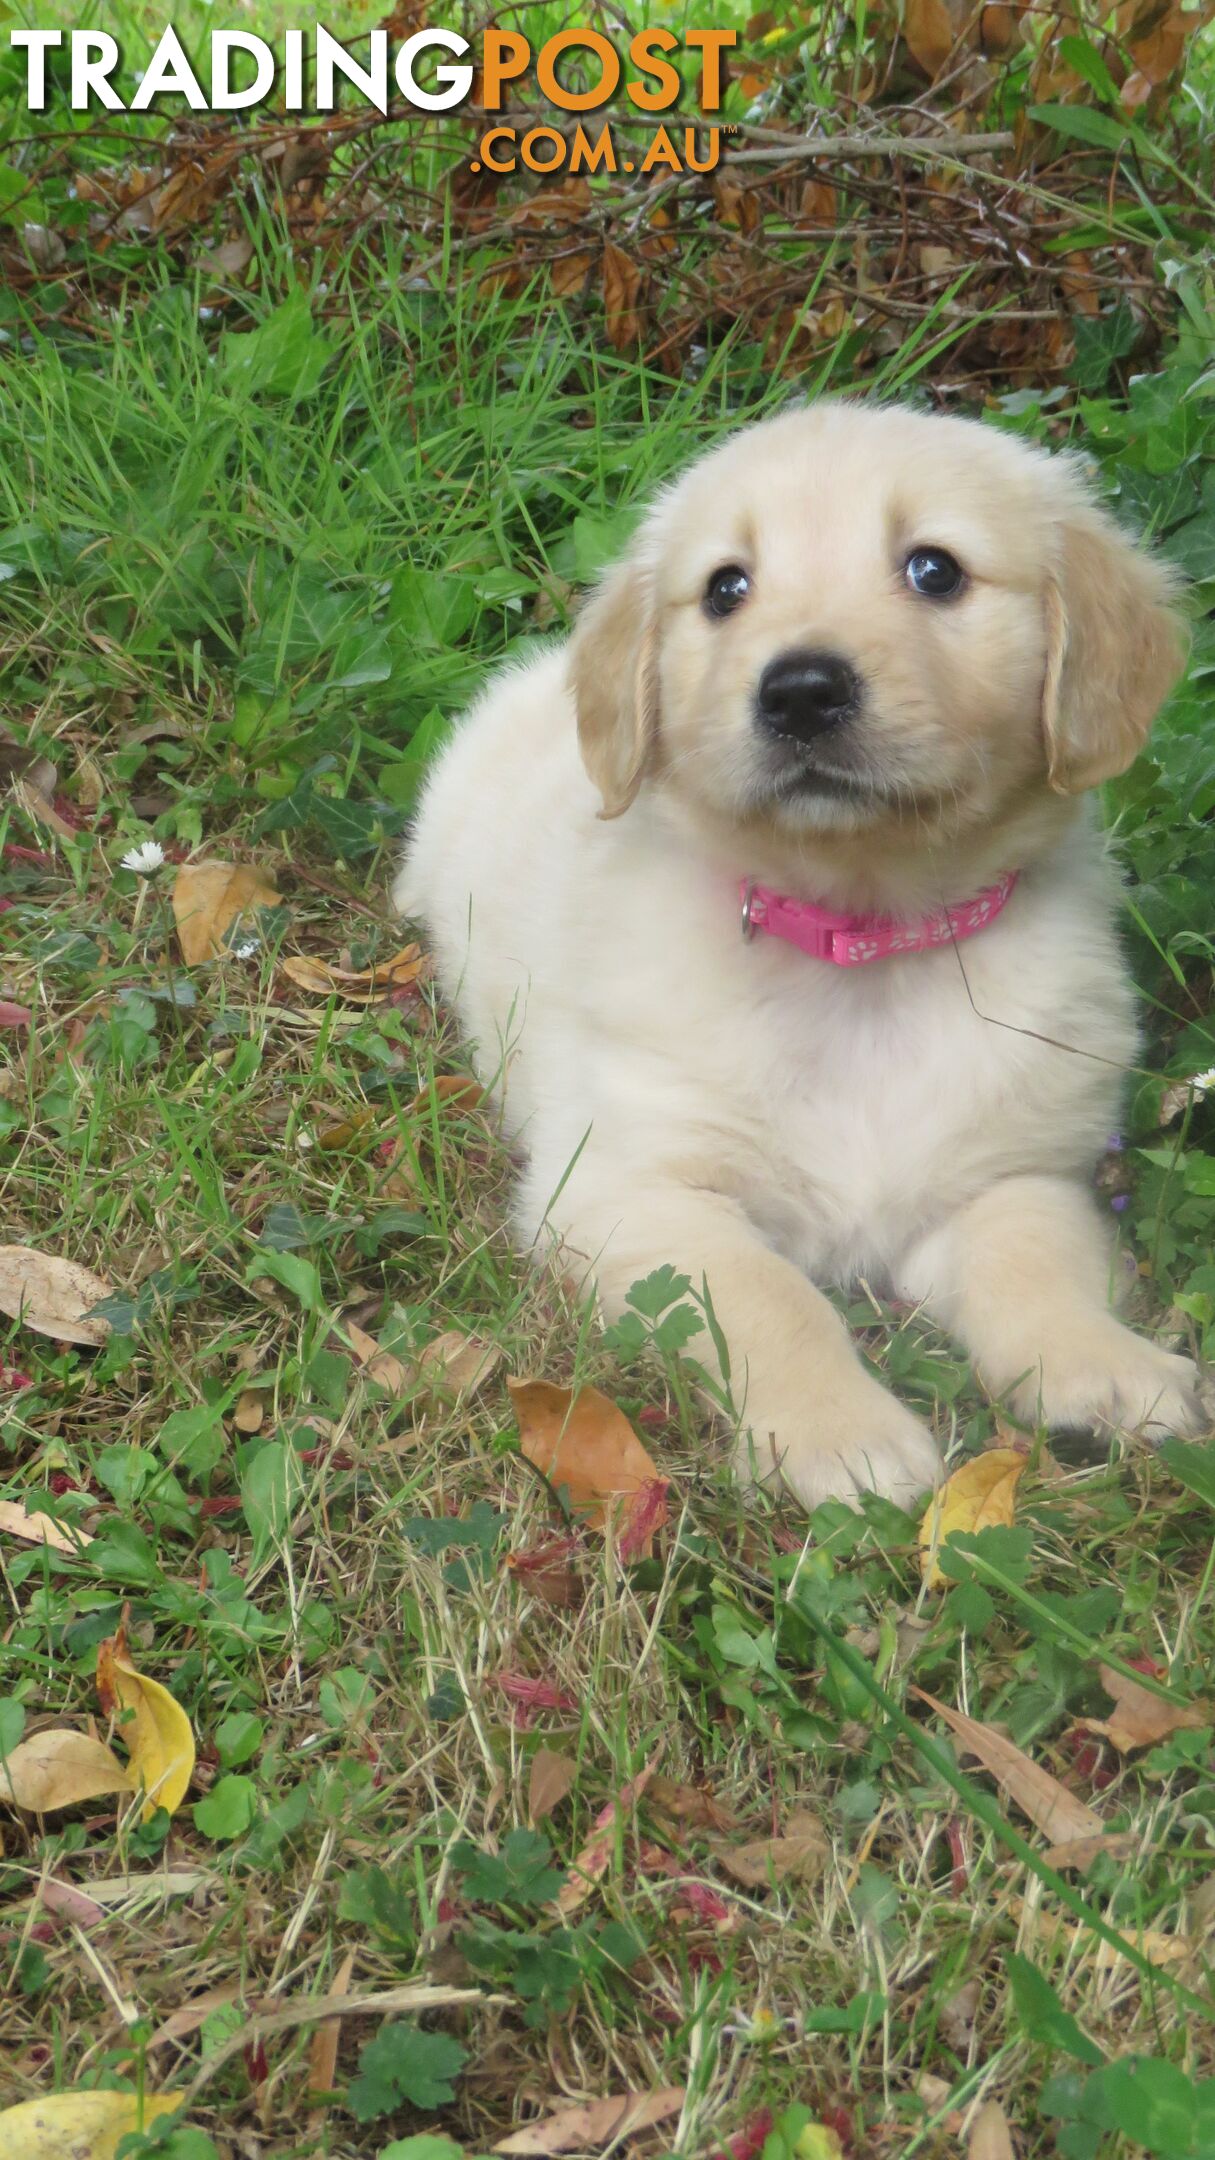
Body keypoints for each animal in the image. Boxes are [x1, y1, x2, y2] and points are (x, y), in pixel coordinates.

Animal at [397, 406, 1202, 1503]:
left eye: (935, 570)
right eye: (725, 588)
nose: (802, 692)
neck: (861, 947)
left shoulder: (1013, 1174)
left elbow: (1035, 1261)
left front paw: (1105, 1368)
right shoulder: (631, 1186)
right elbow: (767, 1292)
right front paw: (842, 1431)